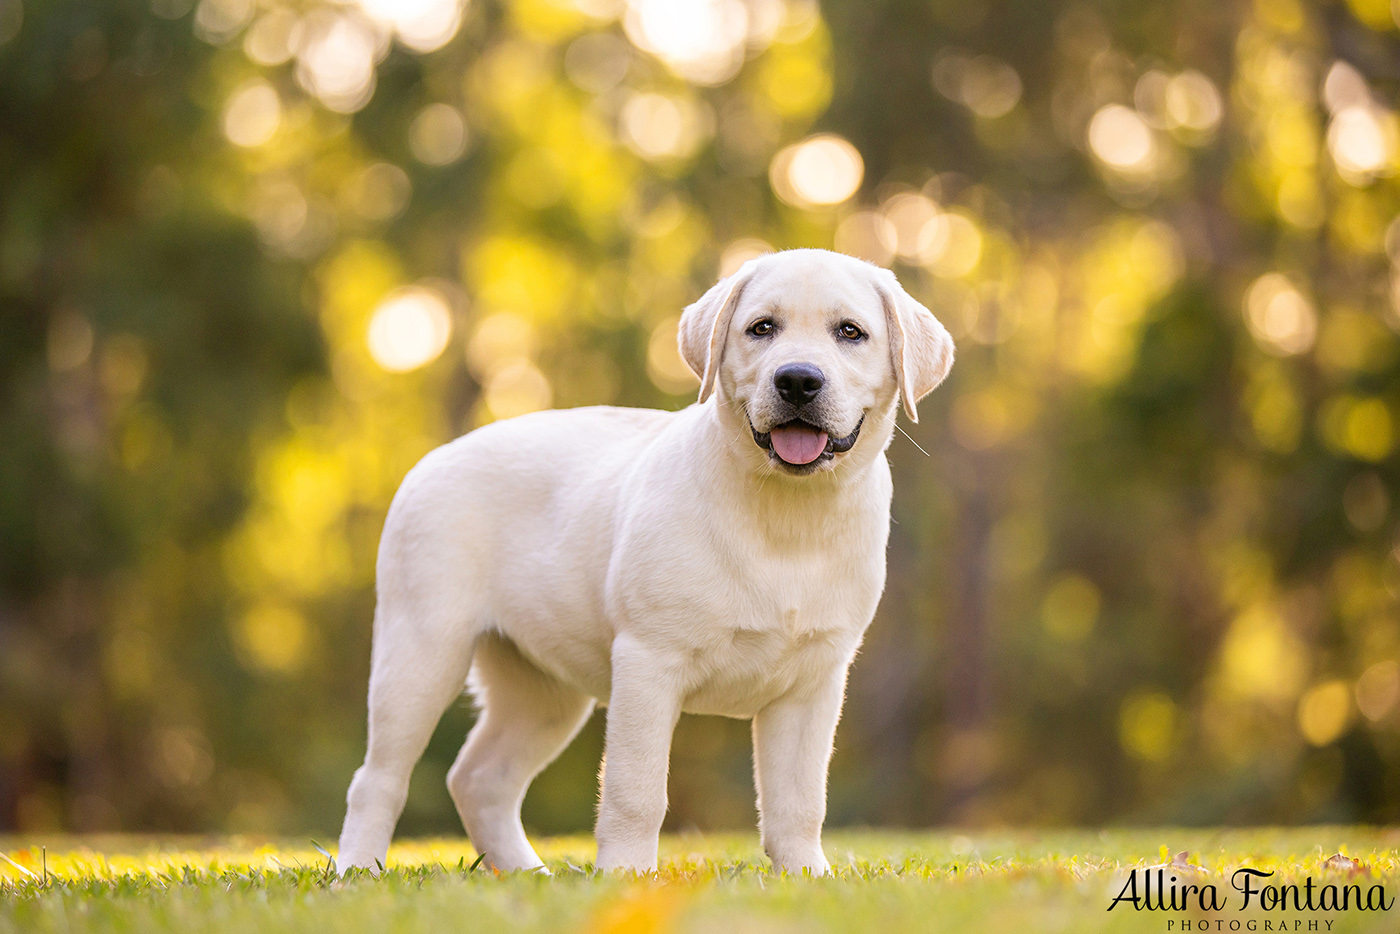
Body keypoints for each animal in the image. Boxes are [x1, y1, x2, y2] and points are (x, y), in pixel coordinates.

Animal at [333, 246, 957, 879]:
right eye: (762, 329)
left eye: (850, 333)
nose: (798, 379)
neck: (788, 515)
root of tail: (434, 457)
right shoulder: (648, 662)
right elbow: (637, 790)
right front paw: (627, 876)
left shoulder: (814, 682)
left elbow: (799, 800)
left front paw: (805, 876)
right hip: (421, 650)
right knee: (378, 778)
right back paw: (357, 872)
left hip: (542, 692)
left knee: (479, 778)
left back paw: (530, 876)